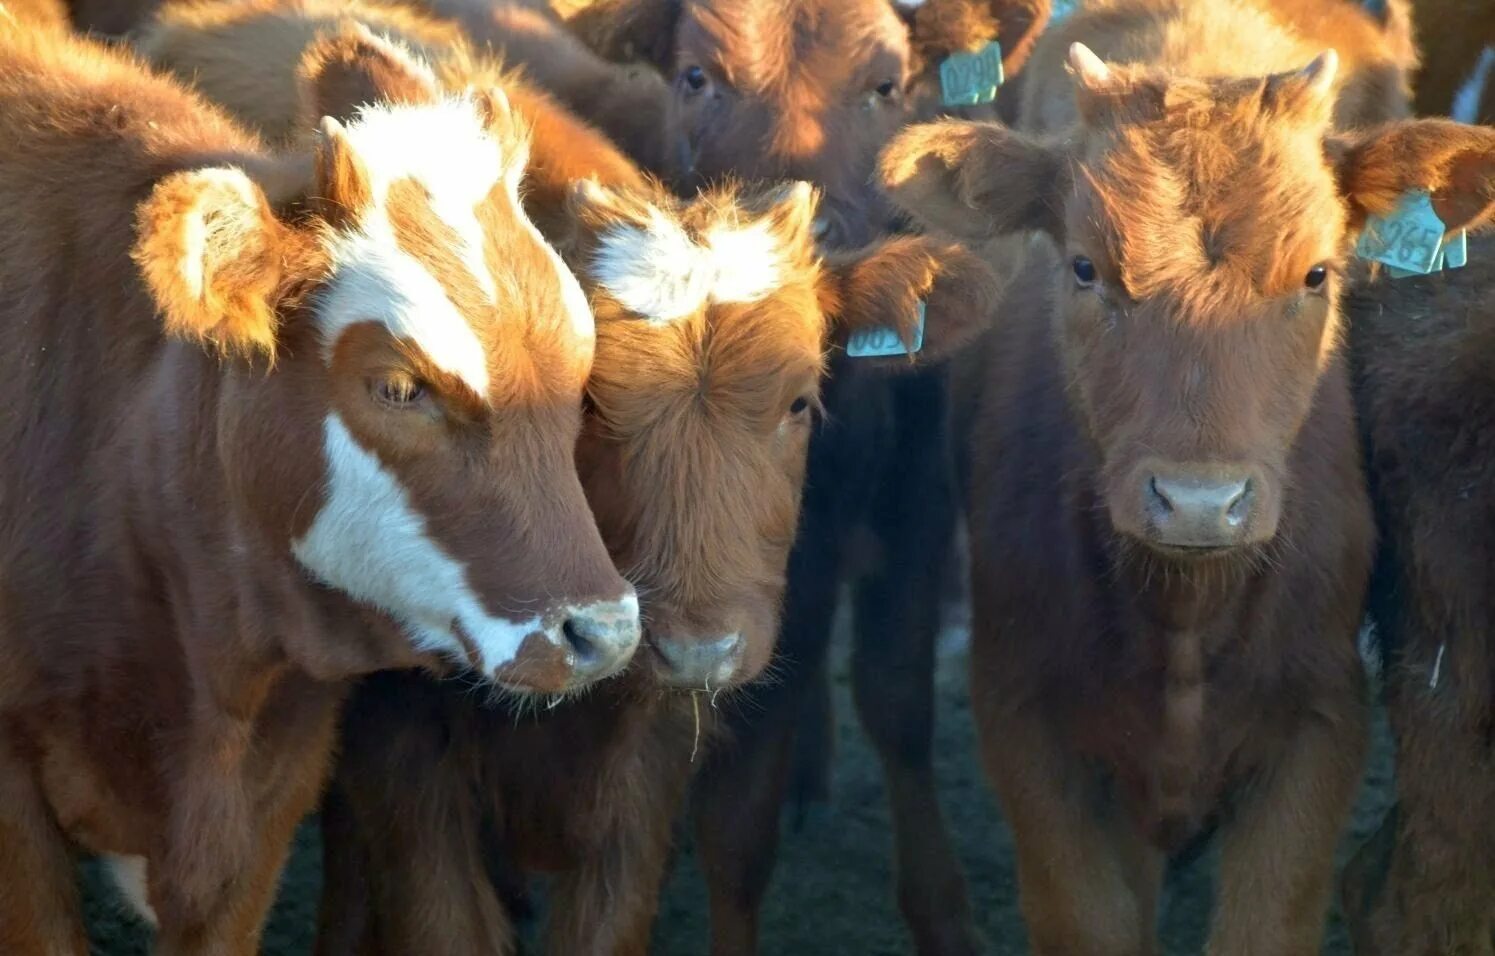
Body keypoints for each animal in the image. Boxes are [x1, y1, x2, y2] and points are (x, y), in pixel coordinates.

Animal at [879, 0, 1495, 951]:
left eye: (1317, 271)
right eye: (1083, 267)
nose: (1200, 503)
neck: (1183, 617)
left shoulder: (1319, 726)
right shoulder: (1026, 726)